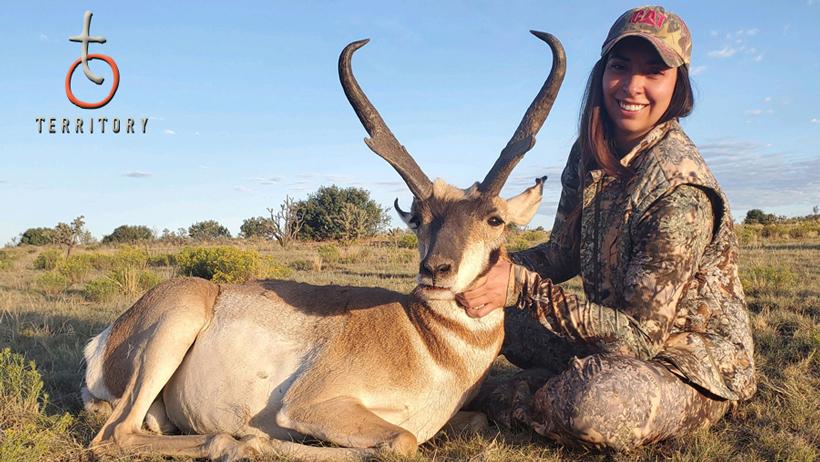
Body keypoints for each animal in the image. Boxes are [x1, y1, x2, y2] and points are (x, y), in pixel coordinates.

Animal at [82, 31, 565, 461]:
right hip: (176, 324)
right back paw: (238, 444)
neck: (423, 337)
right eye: (419, 218)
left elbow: (471, 422)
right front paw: (264, 441)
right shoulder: (310, 404)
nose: (435, 270)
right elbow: (403, 440)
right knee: (116, 434)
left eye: (495, 219)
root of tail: (103, 338)